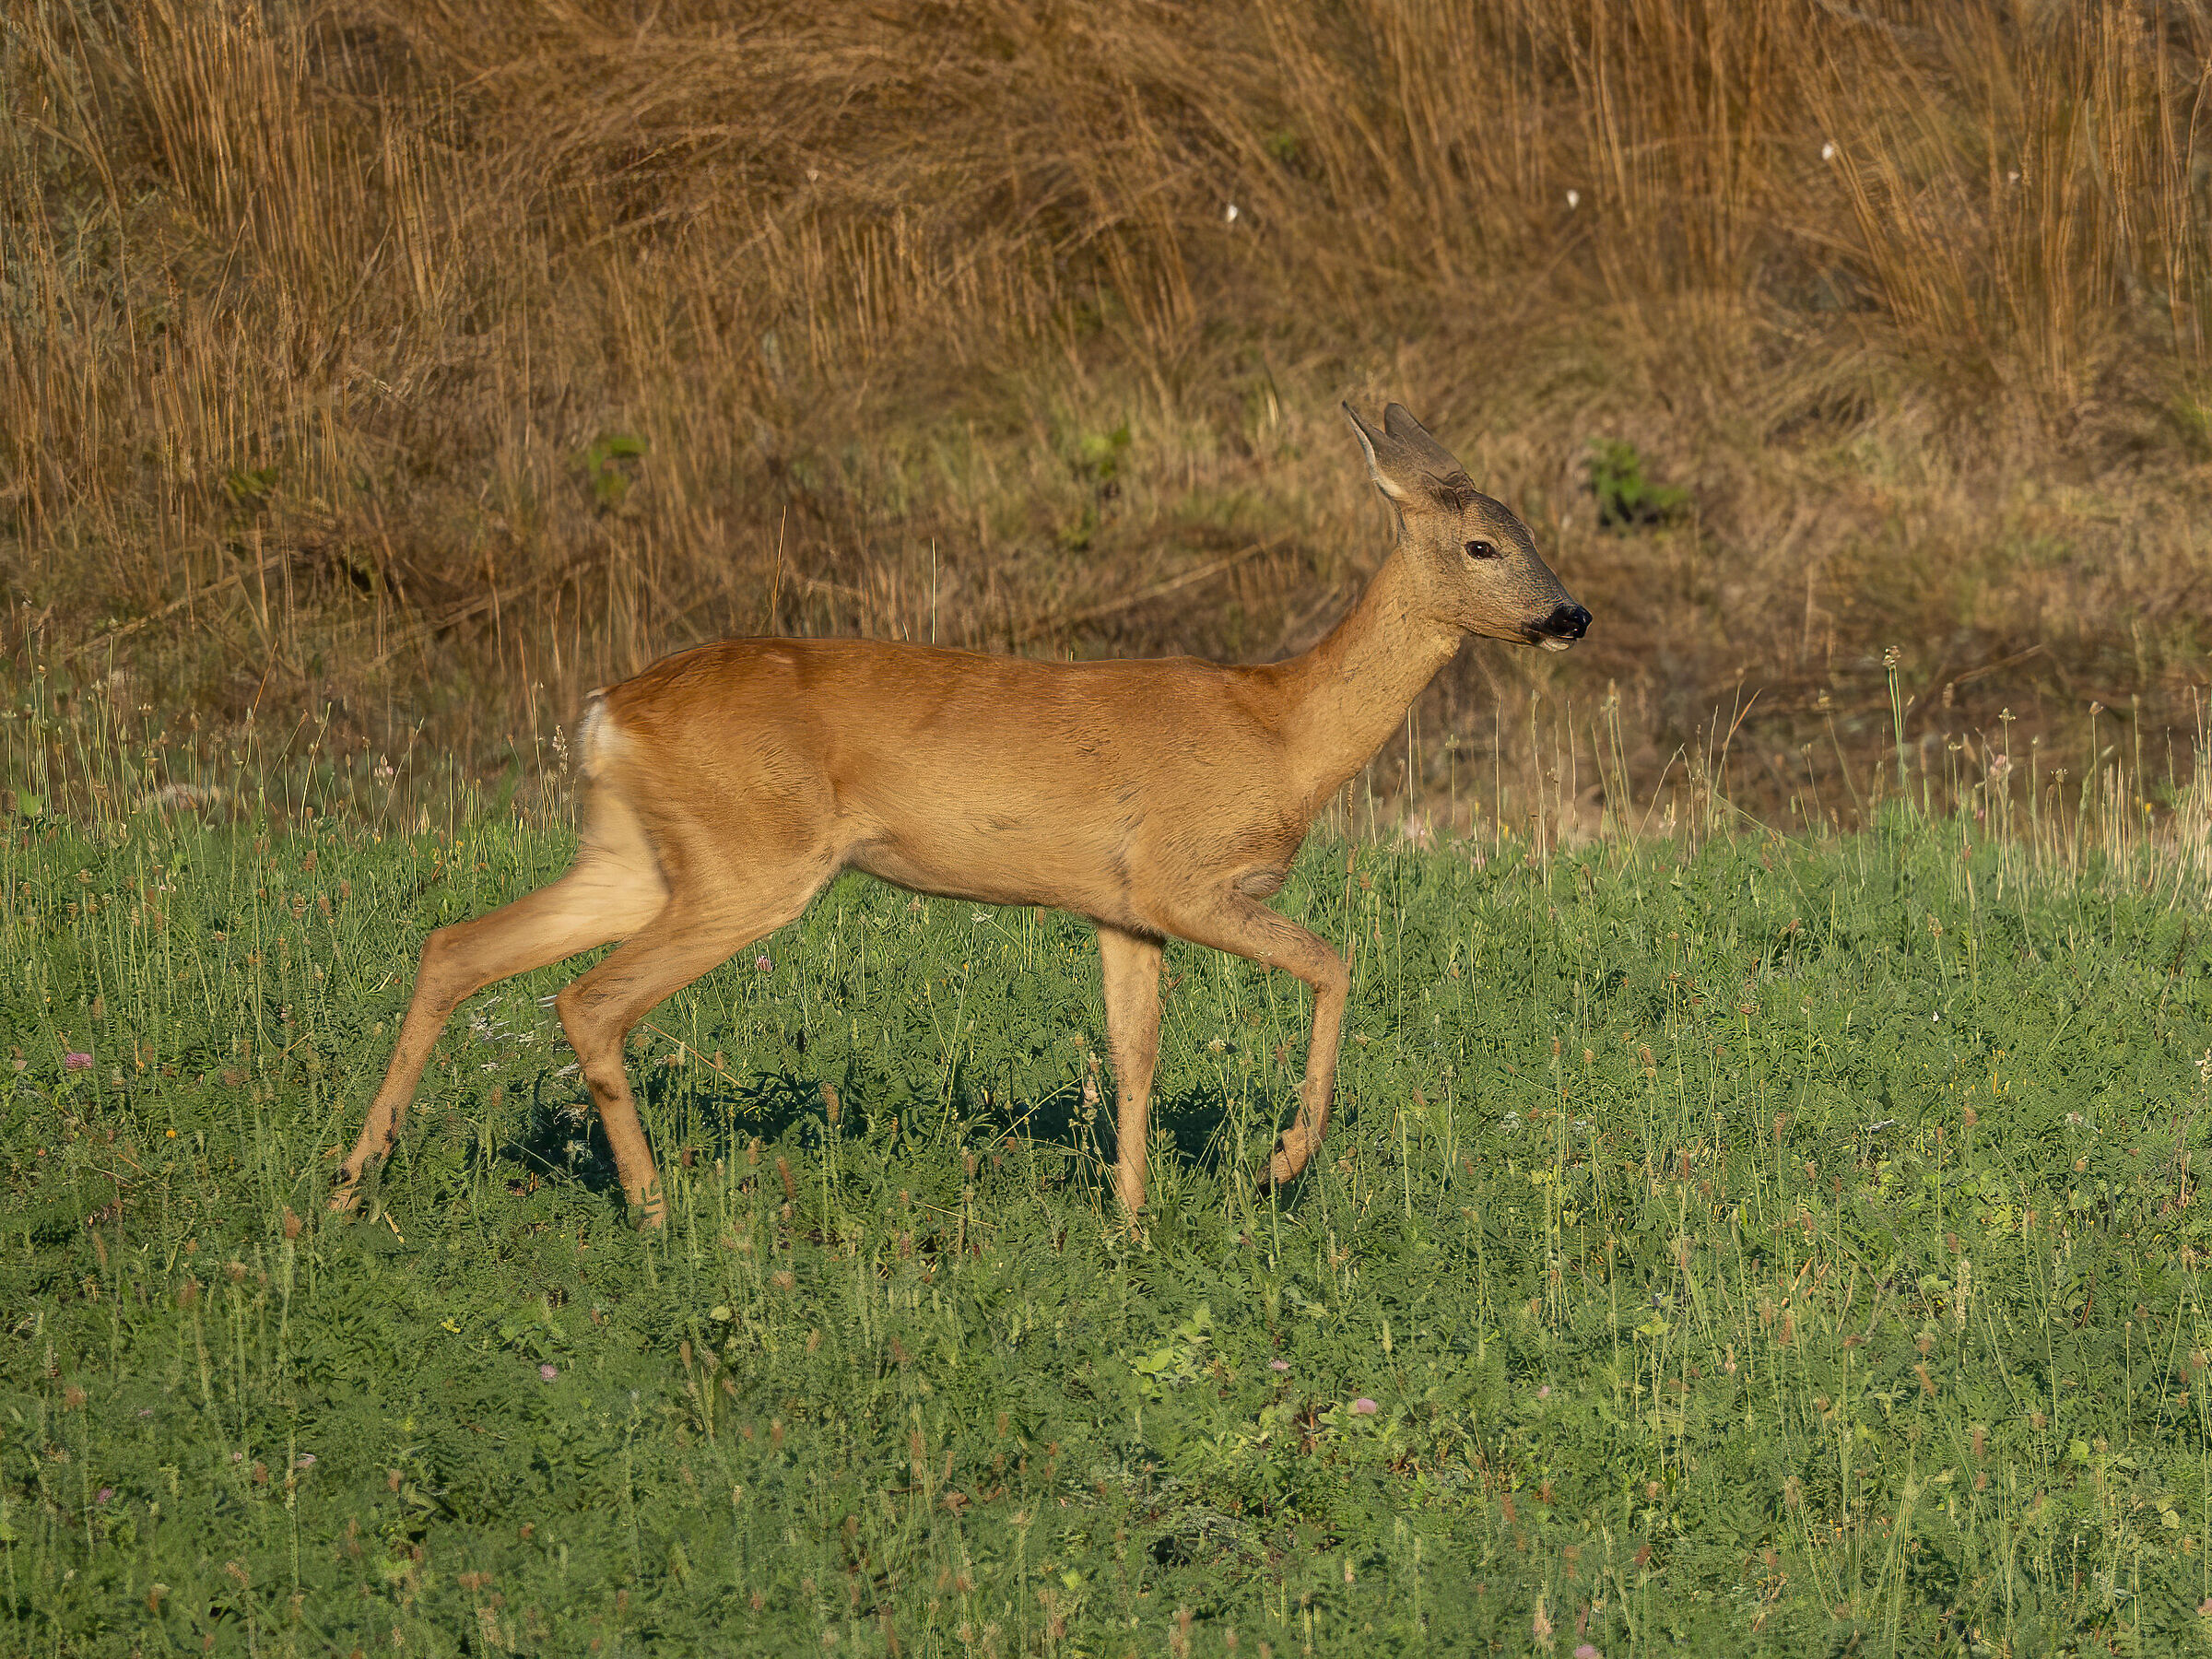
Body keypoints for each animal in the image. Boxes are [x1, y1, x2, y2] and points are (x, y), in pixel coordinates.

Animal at [330, 403, 1590, 1228]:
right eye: (1482, 544)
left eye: (1534, 533)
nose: (1571, 616)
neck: (1284, 733)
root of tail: (604, 714)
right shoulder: (1185, 876)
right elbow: (1335, 963)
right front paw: (1281, 1163)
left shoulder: (1122, 908)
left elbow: (1133, 1054)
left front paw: (1130, 1219)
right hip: (751, 861)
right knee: (588, 999)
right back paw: (653, 1210)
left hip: (641, 853)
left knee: (456, 947)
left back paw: (353, 1179)